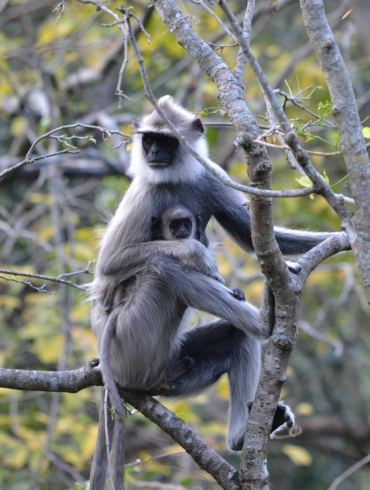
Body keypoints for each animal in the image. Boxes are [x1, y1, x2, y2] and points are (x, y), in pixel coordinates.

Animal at [89, 95, 332, 486]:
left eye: (165, 141)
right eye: (149, 140)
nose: (153, 151)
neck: (173, 178)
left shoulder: (208, 177)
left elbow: (253, 237)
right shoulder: (145, 192)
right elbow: (109, 267)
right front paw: (199, 255)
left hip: (171, 364)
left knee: (236, 335)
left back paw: (240, 437)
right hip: (130, 349)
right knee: (164, 270)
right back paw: (266, 322)